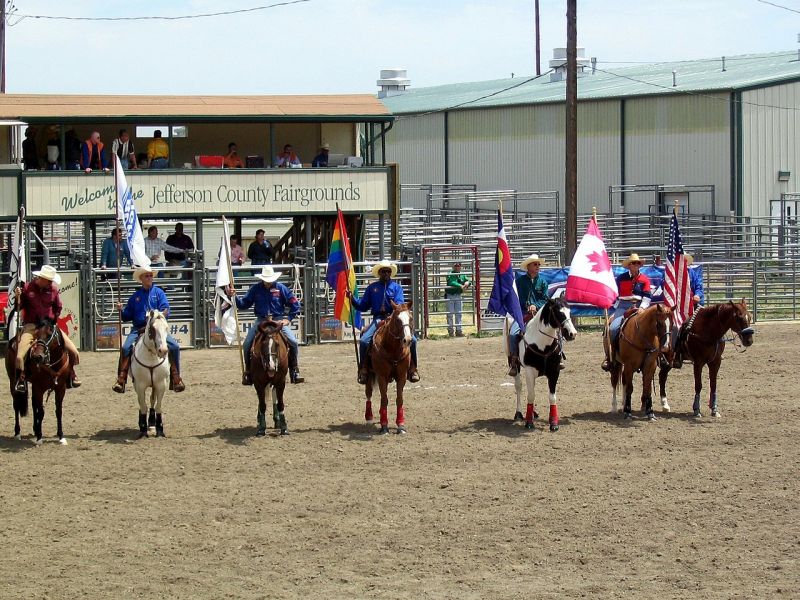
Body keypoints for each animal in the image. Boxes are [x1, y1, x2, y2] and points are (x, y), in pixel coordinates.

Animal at [364, 302, 412, 434]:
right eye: (397, 320)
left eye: (410, 318)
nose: (408, 340)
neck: (393, 350)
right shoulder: (382, 377)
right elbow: (384, 400)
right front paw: (384, 426)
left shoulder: (402, 376)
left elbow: (399, 399)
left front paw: (401, 425)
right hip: (368, 375)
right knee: (368, 394)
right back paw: (369, 417)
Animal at [500, 296, 576, 428]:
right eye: (558, 313)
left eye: (569, 312)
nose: (572, 334)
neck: (542, 345)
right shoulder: (530, 371)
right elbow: (531, 395)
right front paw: (529, 422)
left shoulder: (554, 372)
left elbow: (552, 397)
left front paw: (553, 423)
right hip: (515, 365)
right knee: (519, 387)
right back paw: (519, 414)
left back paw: (533, 413)